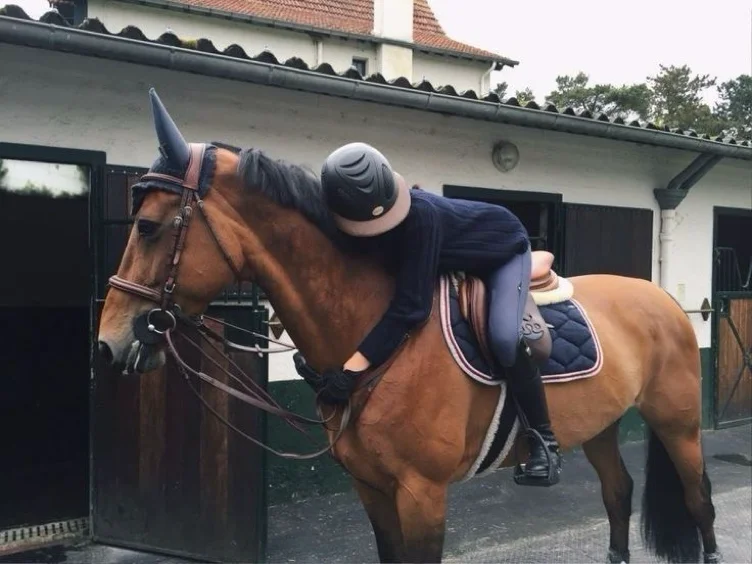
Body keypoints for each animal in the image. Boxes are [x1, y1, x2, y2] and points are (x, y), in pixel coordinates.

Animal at [97, 89, 722, 564]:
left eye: (148, 226)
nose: (108, 344)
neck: (377, 345)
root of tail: (664, 300)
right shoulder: (372, 488)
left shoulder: (422, 494)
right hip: (601, 425)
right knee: (619, 495)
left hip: (678, 423)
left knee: (699, 500)